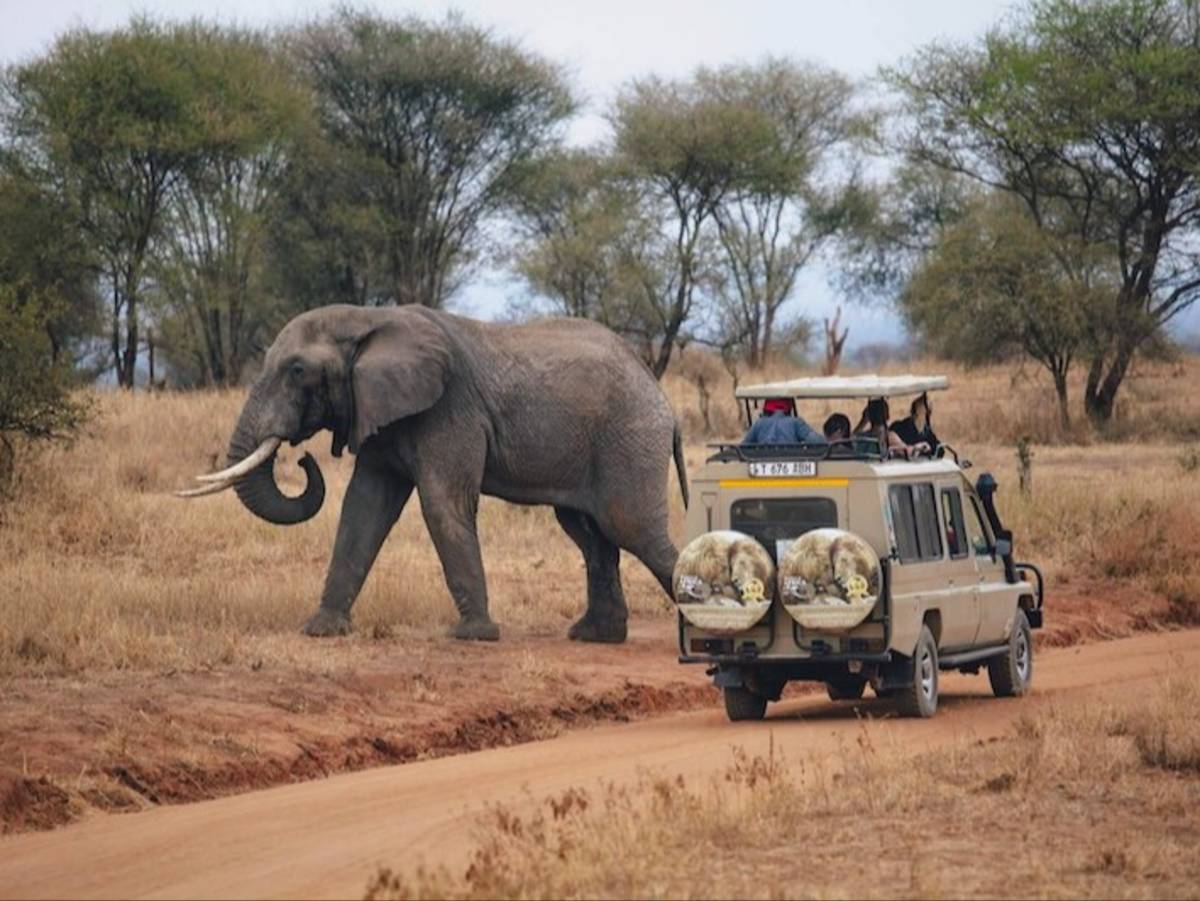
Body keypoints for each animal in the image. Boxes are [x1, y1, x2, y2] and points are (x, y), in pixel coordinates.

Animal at [179, 304, 688, 643]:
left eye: (298, 370)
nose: (304, 459)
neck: (365, 318)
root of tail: (661, 396)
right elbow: (362, 510)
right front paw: (321, 629)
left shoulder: (448, 410)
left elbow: (442, 504)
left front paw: (473, 636)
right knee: (591, 534)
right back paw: (593, 636)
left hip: (630, 438)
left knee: (630, 527)